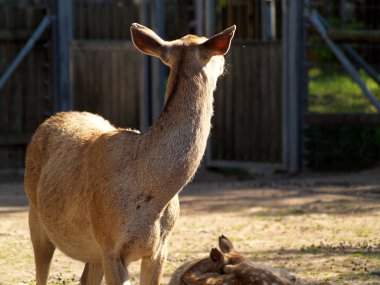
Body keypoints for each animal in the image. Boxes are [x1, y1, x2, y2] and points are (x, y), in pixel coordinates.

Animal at [23, 22, 235, 284]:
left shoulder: (159, 249)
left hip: (93, 252)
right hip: (35, 216)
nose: (225, 63)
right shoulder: (110, 245)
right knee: (41, 270)